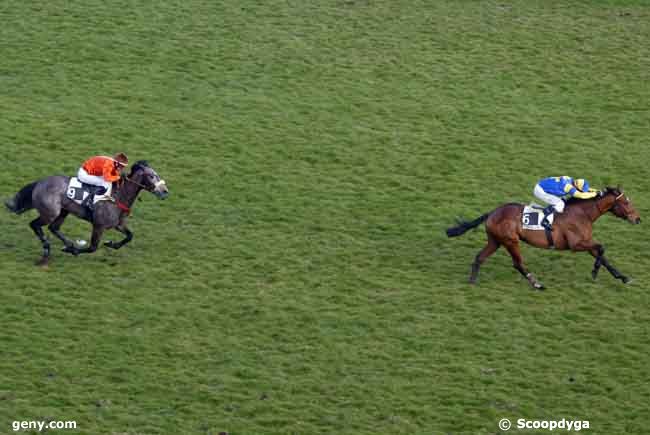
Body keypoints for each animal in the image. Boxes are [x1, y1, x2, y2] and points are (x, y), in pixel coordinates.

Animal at [5, 162, 167, 268]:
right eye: (152, 176)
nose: (165, 191)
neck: (118, 195)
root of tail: (40, 182)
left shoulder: (117, 224)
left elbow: (129, 236)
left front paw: (112, 244)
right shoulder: (99, 225)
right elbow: (92, 247)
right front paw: (74, 250)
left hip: (64, 211)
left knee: (53, 228)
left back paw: (68, 244)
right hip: (50, 213)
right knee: (35, 225)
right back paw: (47, 249)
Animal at [446, 187, 636, 290]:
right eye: (627, 202)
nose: (637, 218)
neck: (583, 213)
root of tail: (492, 213)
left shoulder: (586, 242)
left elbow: (603, 256)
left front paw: (623, 277)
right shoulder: (576, 244)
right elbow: (602, 248)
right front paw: (595, 271)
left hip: (495, 241)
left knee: (479, 257)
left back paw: (472, 281)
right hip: (510, 241)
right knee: (518, 263)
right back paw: (537, 284)